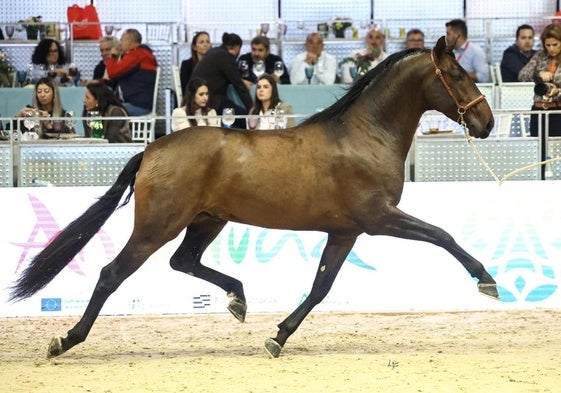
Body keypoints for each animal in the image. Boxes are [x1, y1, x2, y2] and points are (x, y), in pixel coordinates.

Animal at [10, 37, 496, 358]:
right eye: (457, 75)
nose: (487, 123)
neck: (363, 135)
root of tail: (150, 150)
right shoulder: (379, 218)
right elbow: (443, 235)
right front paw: (487, 281)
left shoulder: (345, 232)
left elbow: (321, 286)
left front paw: (277, 337)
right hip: (158, 226)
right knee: (113, 274)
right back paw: (65, 340)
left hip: (207, 220)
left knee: (183, 261)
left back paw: (238, 299)